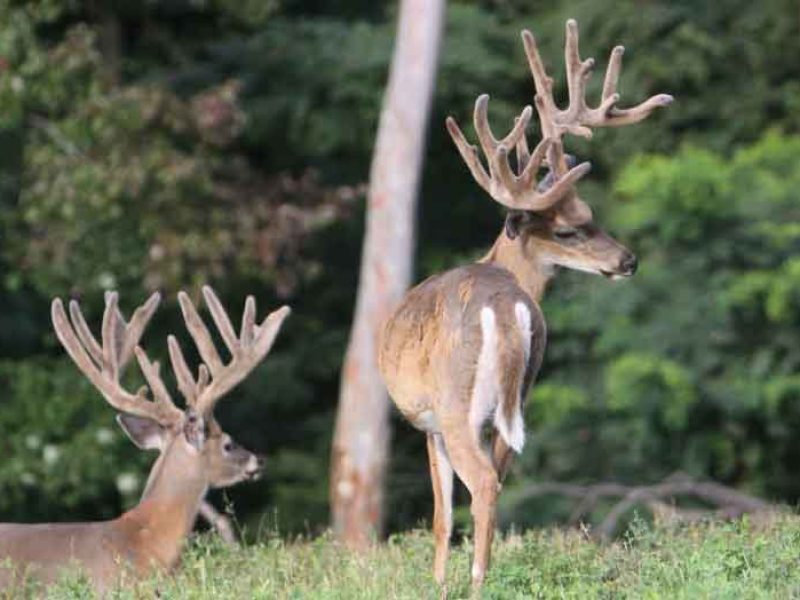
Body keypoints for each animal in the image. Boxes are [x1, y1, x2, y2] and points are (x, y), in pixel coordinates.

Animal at [378, 19, 672, 592]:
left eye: (587, 217)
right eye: (571, 226)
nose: (628, 261)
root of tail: (506, 303)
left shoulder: (428, 420)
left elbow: (441, 513)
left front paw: (437, 583)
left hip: (456, 404)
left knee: (482, 485)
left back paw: (474, 584)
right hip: (518, 397)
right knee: (498, 477)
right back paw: (487, 577)